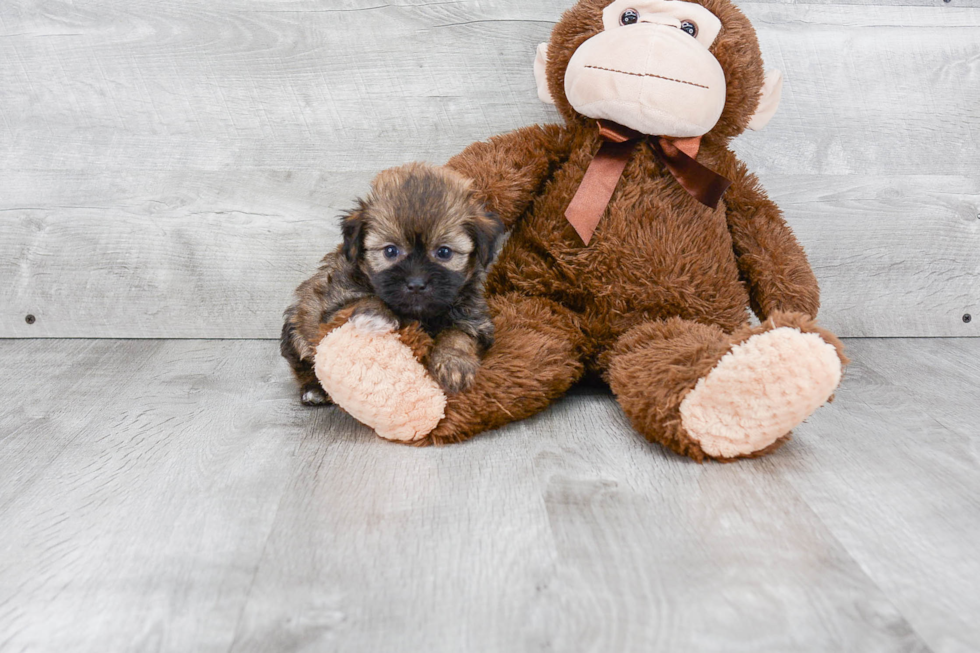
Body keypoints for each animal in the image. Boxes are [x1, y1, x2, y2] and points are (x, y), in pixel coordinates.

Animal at [278, 162, 502, 404]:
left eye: (444, 252)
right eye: (390, 251)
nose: (416, 283)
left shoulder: (475, 320)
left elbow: (459, 334)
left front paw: (454, 362)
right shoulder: (332, 303)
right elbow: (363, 299)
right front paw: (376, 315)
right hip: (296, 326)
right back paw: (314, 389)